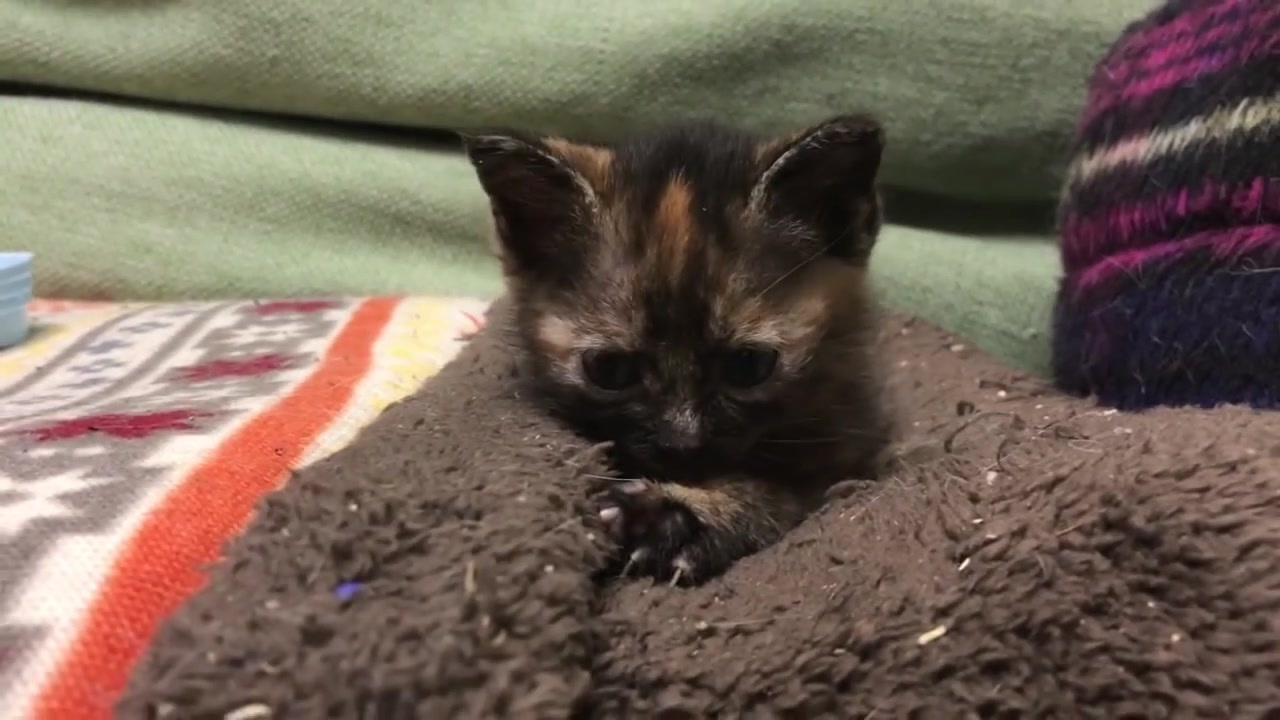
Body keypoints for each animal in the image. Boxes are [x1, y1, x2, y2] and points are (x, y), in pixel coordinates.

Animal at [461, 115, 892, 585]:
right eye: (610, 369)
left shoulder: (849, 452)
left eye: (748, 365)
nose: (682, 442)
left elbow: (781, 493)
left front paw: (677, 517)